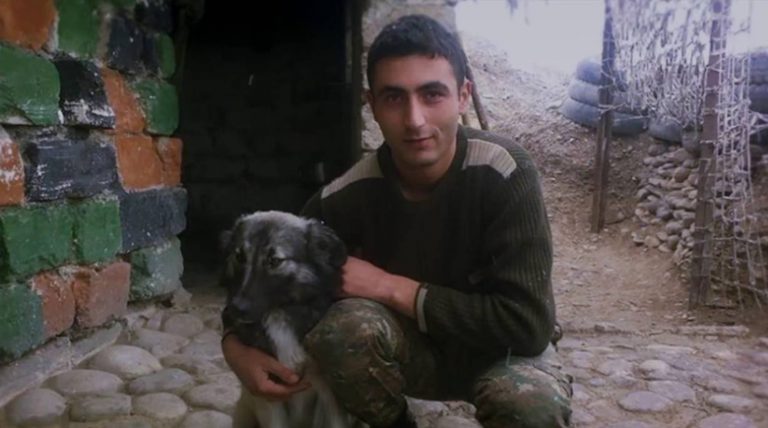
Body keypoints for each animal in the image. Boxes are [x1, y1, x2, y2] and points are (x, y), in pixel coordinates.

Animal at [220, 211, 365, 428]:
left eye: (274, 260)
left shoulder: (331, 400)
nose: (235, 309)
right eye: (240, 256)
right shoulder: (268, 394)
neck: (280, 313)